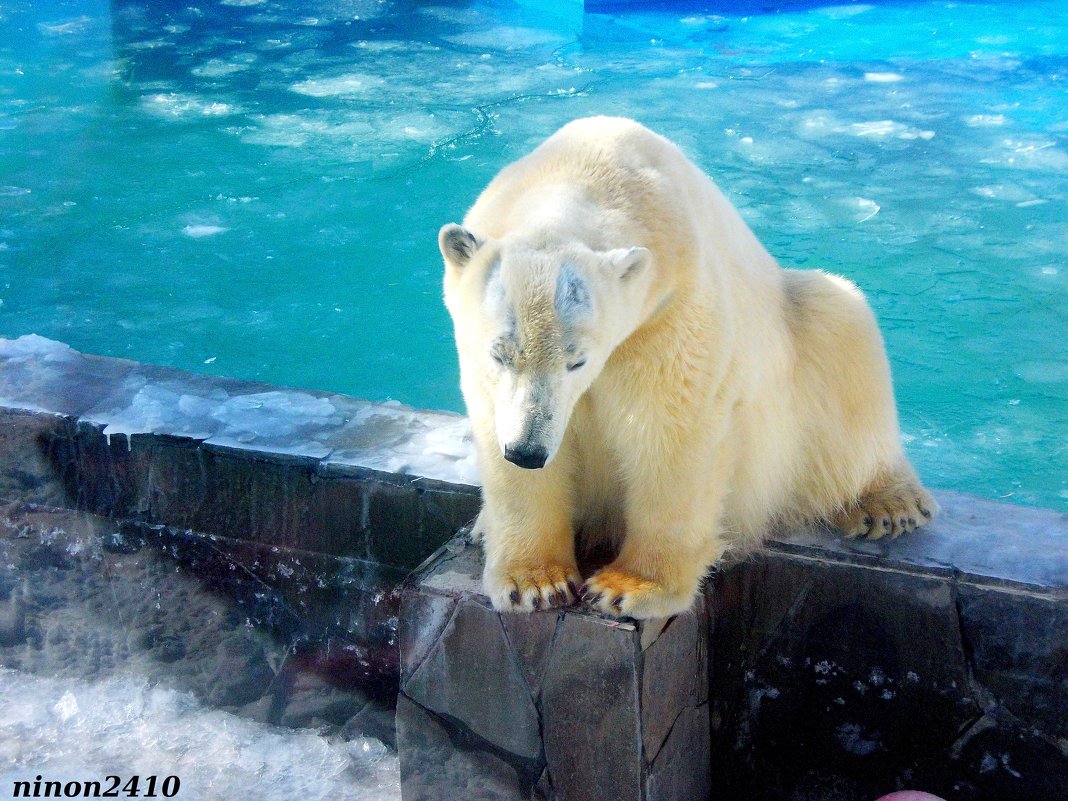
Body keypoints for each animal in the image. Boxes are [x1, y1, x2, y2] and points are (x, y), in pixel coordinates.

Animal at [435, 117, 935, 619]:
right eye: (499, 353)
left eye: (578, 360)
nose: (527, 451)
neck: (586, 169)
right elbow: (498, 427)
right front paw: (535, 583)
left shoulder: (671, 310)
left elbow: (672, 429)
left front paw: (628, 587)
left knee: (842, 323)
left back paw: (888, 503)